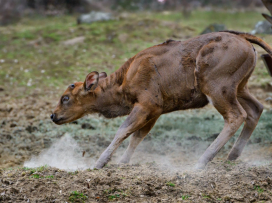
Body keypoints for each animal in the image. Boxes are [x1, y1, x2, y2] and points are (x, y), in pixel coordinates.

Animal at [51, 30, 272, 169]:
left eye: (65, 97)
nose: (53, 115)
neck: (124, 80)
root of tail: (244, 39)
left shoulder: (146, 104)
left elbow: (123, 131)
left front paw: (99, 163)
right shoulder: (156, 111)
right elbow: (137, 136)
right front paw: (122, 162)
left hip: (217, 88)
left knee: (236, 115)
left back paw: (201, 162)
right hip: (240, 88)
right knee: (256, 108)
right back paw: (231, 156)